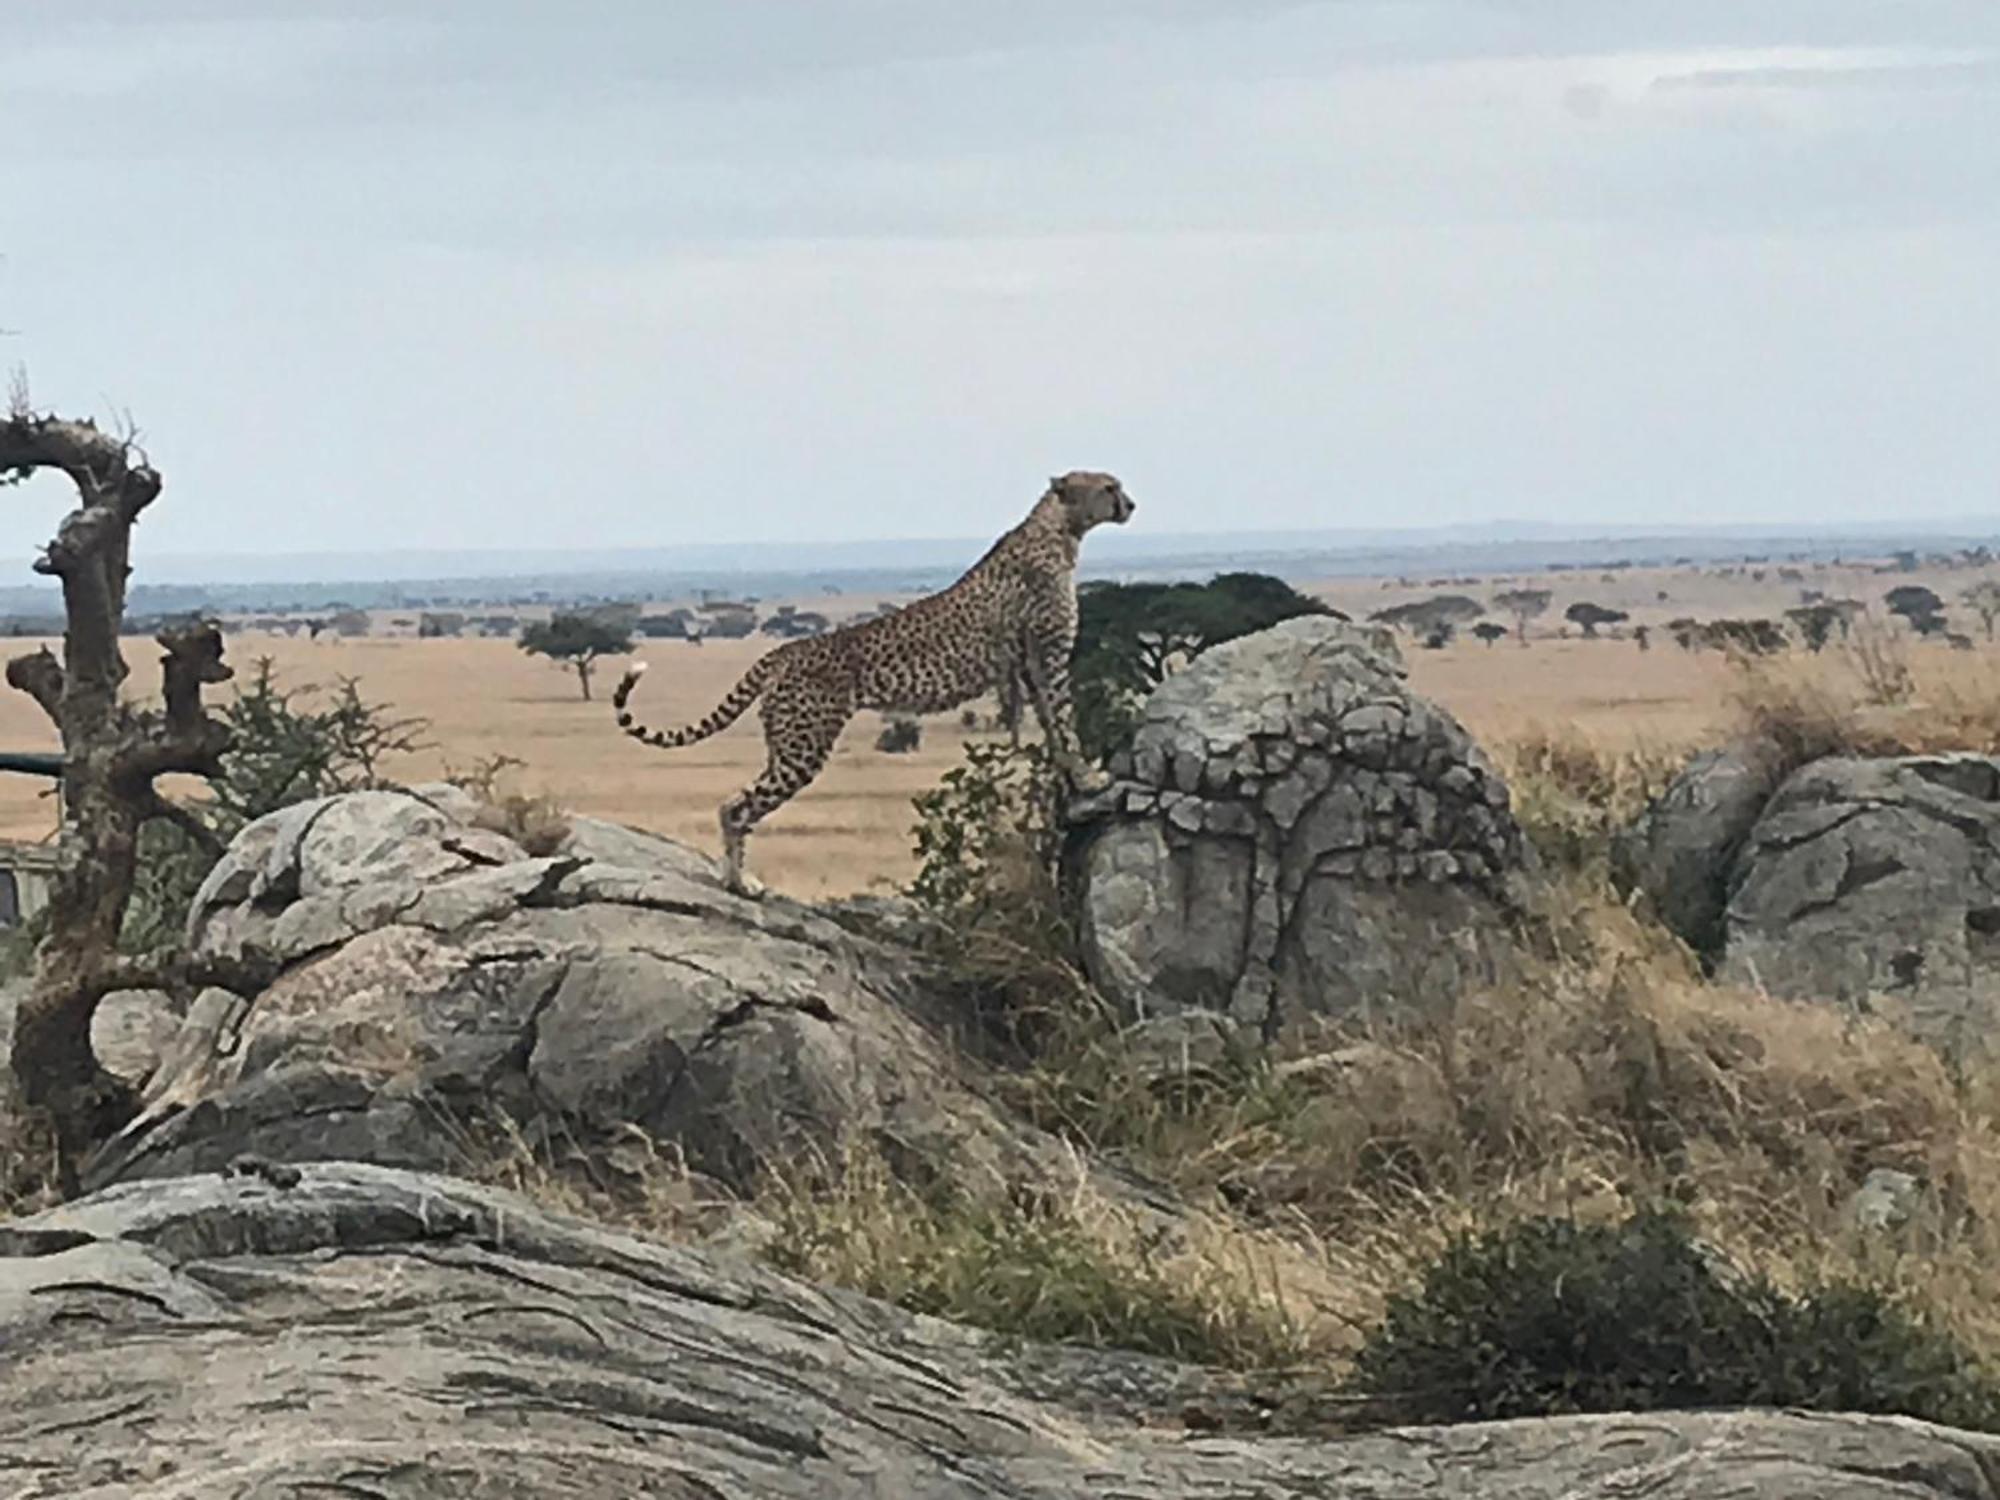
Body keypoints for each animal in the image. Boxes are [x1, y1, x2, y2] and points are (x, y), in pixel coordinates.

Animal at [608, 470, 1144, 892]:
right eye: (1108, 487)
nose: (1132, 504)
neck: (1059, 528)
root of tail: (785, 649)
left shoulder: (1029, 666)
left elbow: (1054, 727)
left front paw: (1071, 778)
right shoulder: (1048, 657)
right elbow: (1066, 720)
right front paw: (1092, 776)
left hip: (786, 743)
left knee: (738, 801)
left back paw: (734, 878)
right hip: (803, 746)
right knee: (735, 807)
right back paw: (741, 883)